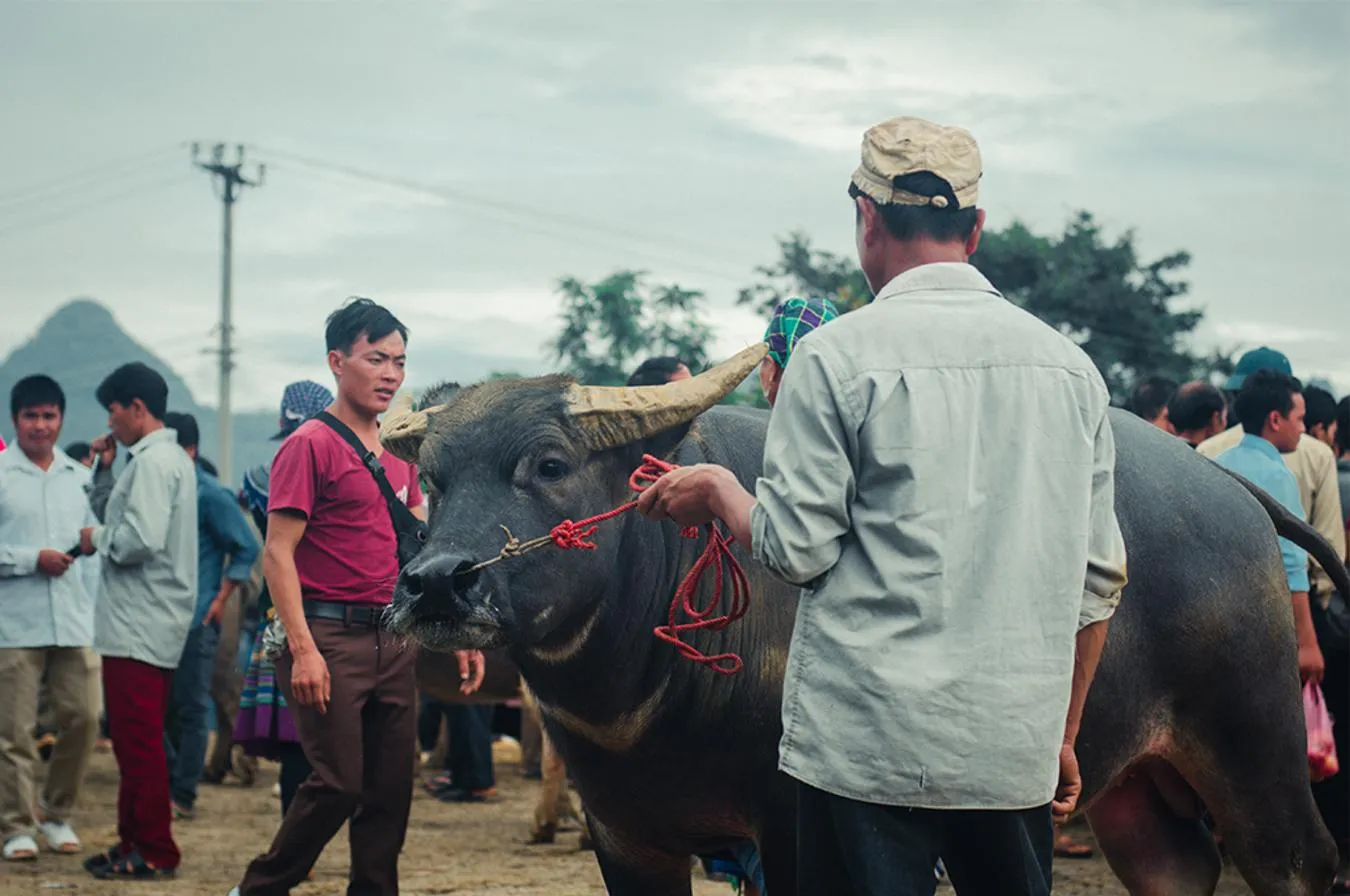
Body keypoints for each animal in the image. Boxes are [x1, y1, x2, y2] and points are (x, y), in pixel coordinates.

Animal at [386, 348, 1344, 895]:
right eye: (431, 479)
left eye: (548, 465)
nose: (436, 585)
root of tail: (1229, 487)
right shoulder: (627, 837)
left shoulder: (790, 827)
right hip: (1131, 781)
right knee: (1176, 869)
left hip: (1253, 746)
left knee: (1301, 864)